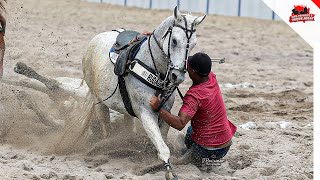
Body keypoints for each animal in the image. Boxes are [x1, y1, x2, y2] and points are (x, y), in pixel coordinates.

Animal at [81, 6, 206, 179]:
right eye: (174, 41)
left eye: (194, 44)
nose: (178, 76)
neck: (155, 69)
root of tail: (96, 38)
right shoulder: (145, 112)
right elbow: (163, 148)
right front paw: (169, 172)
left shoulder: (165, 112)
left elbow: (162, 141)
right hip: (98, 100)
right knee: (106, 126)